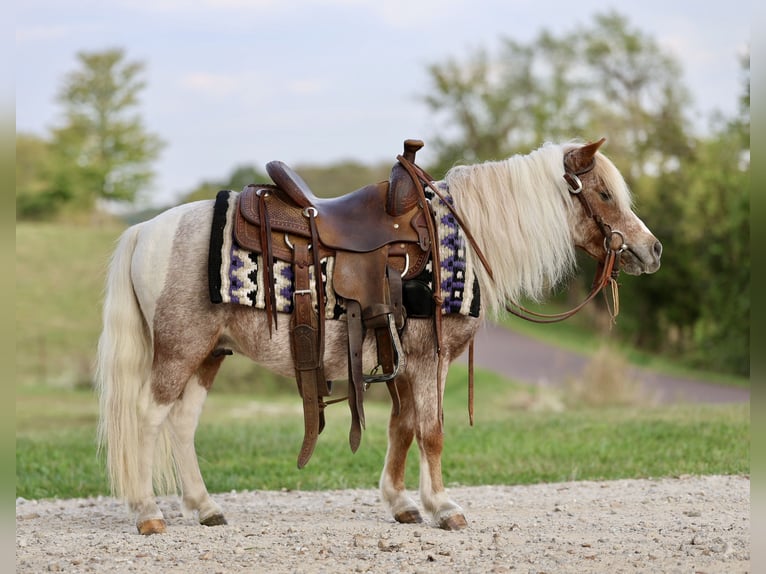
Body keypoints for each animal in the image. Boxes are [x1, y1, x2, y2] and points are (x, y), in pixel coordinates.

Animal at [96, 138, 662, 535]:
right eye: (604, 193)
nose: (652, 249)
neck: (459, 236)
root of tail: (145, 230)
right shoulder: (430, 358)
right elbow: (431, 431)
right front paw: (443, 507)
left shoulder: (409, 360)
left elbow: (404, 427)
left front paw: (403, 503)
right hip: (179, 352)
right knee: (148, 418)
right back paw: (148, 513)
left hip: (210, 353)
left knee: (182, 424)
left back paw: (205, 507)